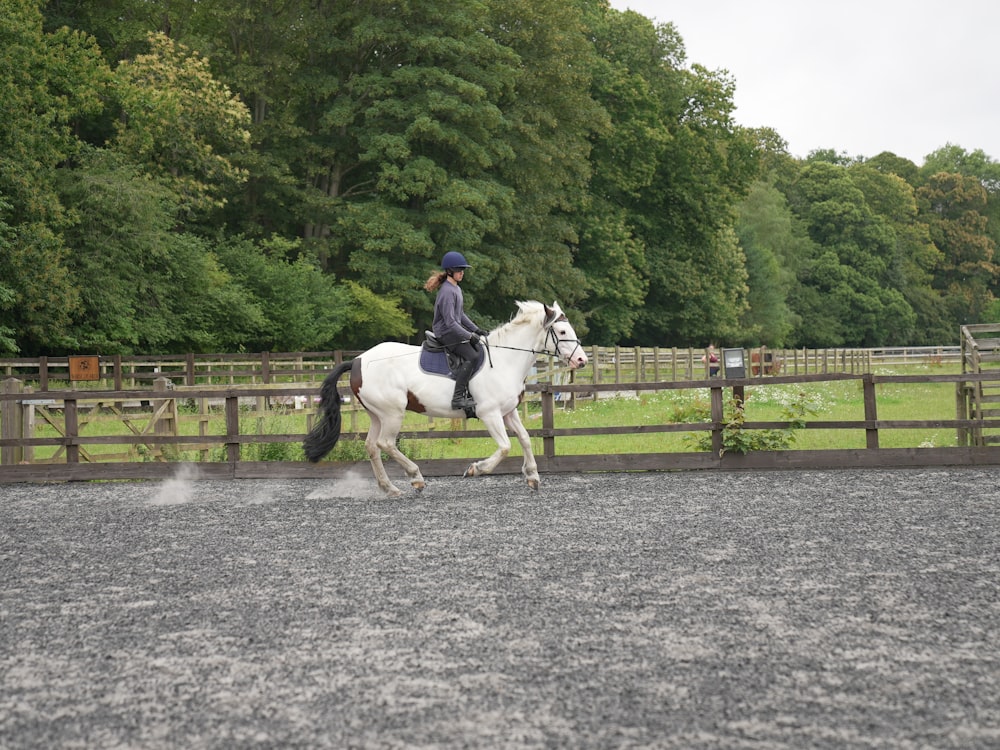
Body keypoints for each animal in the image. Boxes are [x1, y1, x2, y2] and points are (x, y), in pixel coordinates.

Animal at [304, 300, 584, 500]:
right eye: (561, 331)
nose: (582, 360)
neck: (506, 360)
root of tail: (358, 360)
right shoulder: (490, 414)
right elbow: (505, 447)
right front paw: (476, 469)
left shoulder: (508, 412)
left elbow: (525, 438)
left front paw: (533, 476)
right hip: (393, 413)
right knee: (386, 443)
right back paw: (416, 478)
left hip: (377, 414)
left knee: (372, 446)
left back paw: (389, 488)